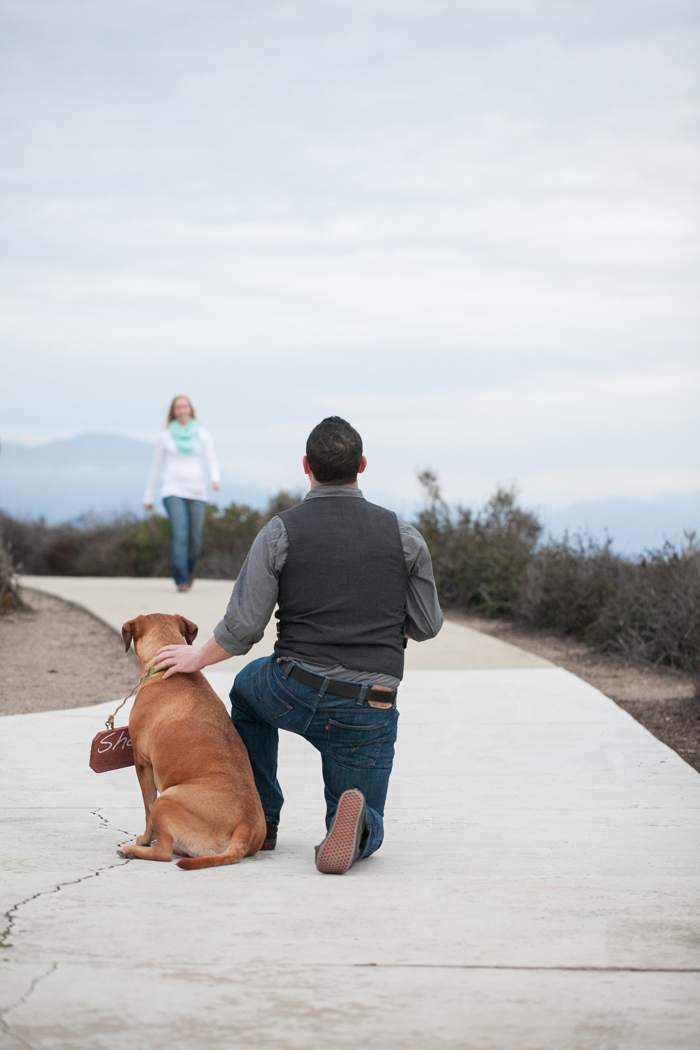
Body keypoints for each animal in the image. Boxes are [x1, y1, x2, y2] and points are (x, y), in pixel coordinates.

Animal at [117, 609, 265, 869]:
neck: (167, 667)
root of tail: (244, 826)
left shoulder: (142, 763)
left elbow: (147, 808)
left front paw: (145, 838)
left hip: (166, 800)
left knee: (163, 852)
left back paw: (134, 850)